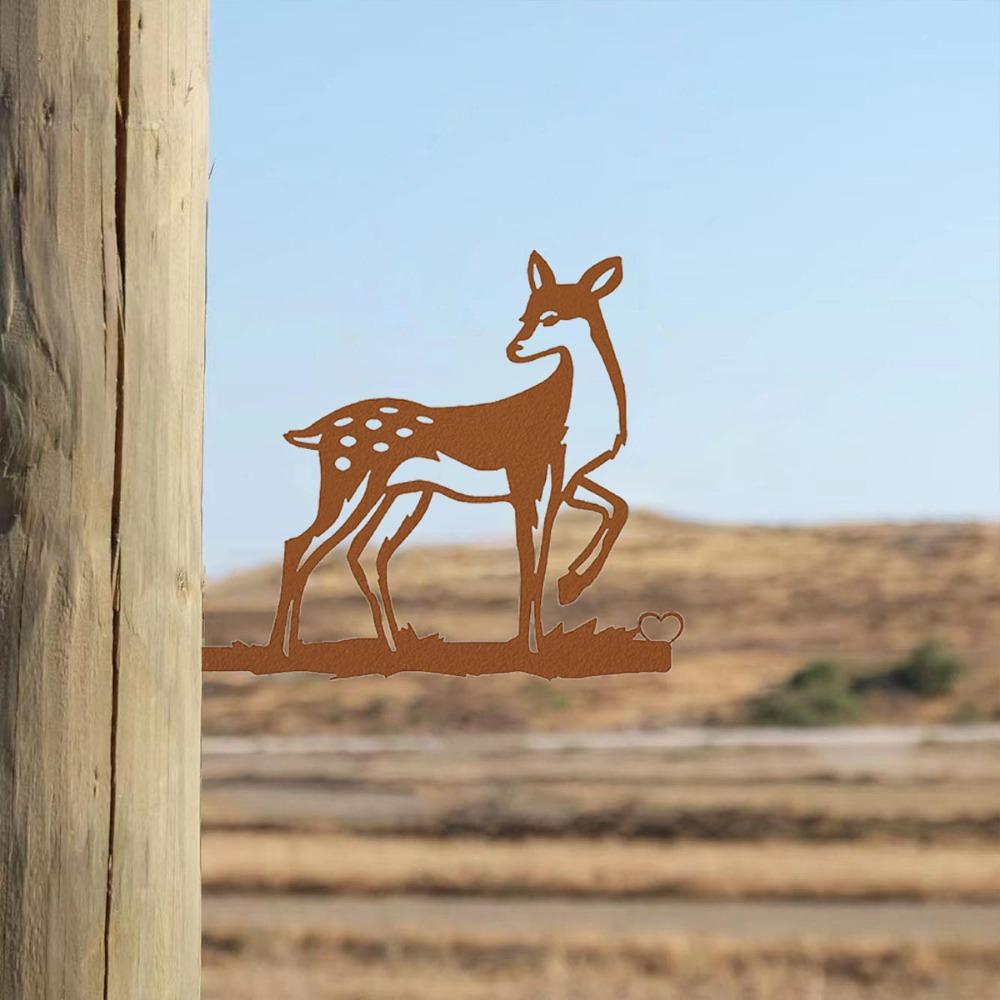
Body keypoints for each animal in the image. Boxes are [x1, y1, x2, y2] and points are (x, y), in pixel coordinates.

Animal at [268, 251, 629, 655]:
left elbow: (615, 509)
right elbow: (532, 560)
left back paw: (390, 645)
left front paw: (570, 586)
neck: (567, 416)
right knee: (301, 544)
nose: (514, 349)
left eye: (550, 316)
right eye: (525, 315)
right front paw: (532, 645)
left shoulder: (566, 479)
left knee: (360, 552)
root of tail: (318, 431)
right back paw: (282, 649)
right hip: (353, 480)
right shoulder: (528, 477)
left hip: (403, 494)